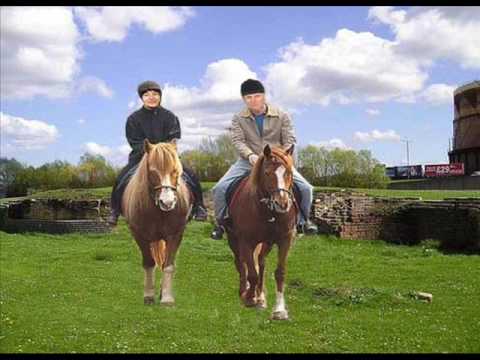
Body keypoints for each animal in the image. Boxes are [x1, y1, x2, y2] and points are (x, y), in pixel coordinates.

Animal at [122, 139, 191, 306]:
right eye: (153, 172)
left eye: (175, 170)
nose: (167, 203)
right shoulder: (140, 236)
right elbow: (149, 263)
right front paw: (148, 296)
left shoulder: (175, 235)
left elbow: (168, 265)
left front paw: (166, 298)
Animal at [225, 143, 296, 320]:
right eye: (267, 173)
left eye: (289, 172)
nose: (282, 204)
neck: (268, 211)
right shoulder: (246, 241)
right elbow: (252, 274)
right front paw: (249, 298)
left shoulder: (285, 240)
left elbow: (280, 273)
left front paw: (279, 310)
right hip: (233, 240)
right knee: (241, 264)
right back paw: (244, 292)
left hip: (267, 243)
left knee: (261, 263)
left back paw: (261, 297)